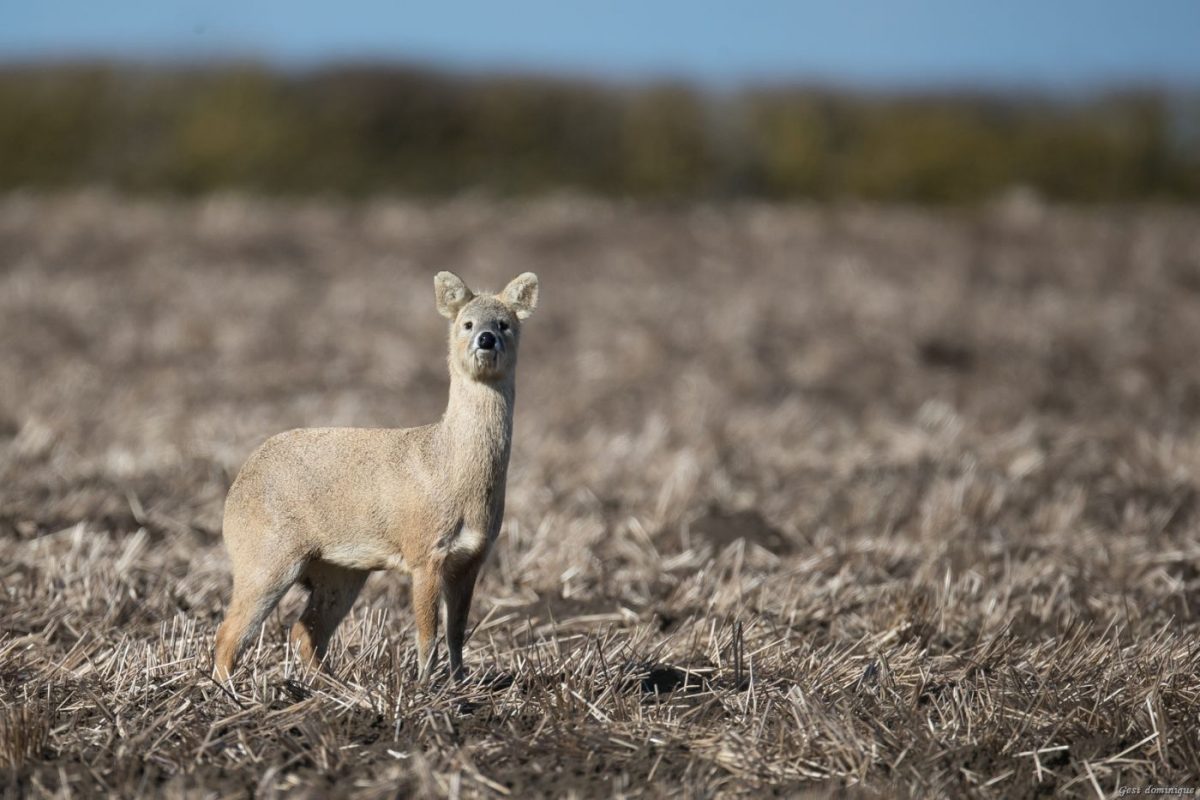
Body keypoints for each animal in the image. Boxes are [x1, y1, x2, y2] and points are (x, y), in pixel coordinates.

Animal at [213, 271, 538, 683]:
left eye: (504, 323)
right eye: (466, 323)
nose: (485, 338)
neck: (454, 472)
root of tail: (237, 485)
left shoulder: (472, 558)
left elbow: (457, 633)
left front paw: (460, 683)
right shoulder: (424, 552)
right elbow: (428, 633)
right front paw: (425, 687)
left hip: (340, 572)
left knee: (304, 631)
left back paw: (330, 686)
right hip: (265, 558)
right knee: (229, 632)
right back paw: (226, 691)